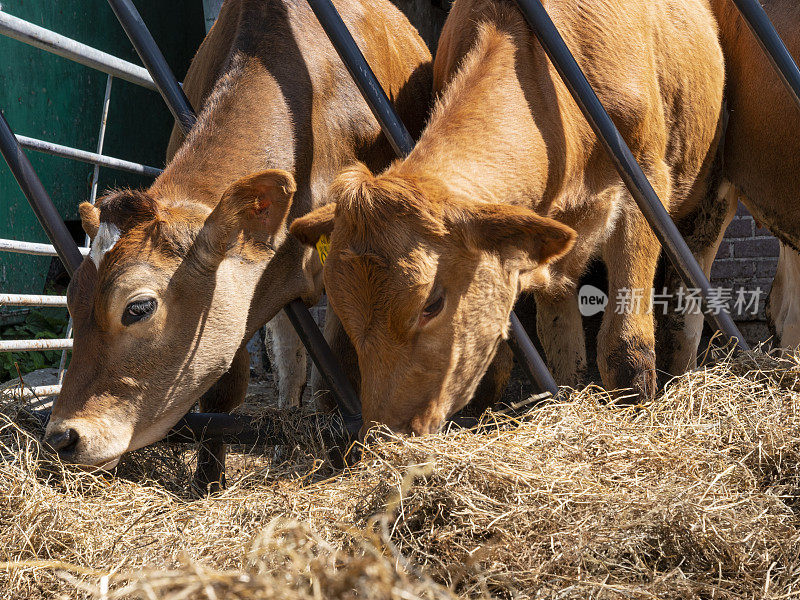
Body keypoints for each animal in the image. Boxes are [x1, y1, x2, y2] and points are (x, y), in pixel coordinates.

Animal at [42, 0, 432, 474]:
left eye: (138, 308)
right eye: (70, 301)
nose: (61, 436)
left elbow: (339, 370)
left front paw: (343, 460)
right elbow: (223, 393)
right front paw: (208, 479)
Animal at [292, 0, 724, 436]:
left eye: (431, 304)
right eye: (343, 310)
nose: (385, 432)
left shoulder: (646, 180)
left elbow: (625, 349)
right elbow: (500, 358)